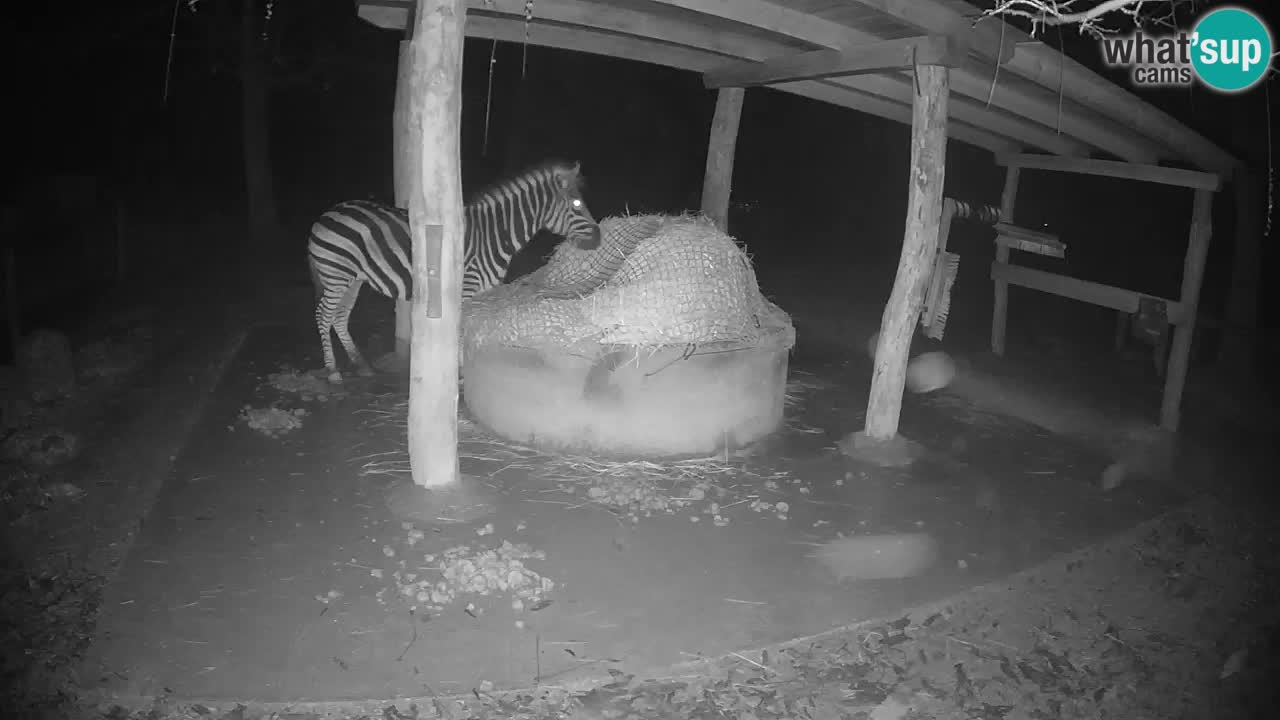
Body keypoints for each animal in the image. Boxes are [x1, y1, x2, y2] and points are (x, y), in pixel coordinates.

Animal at [306, 160, 601, 384]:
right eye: (576, 204)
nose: (598, 238)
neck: (493, 236)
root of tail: (328, 212)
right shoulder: (466, 290)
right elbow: (460, 330)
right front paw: (458, 374)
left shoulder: (482, 292)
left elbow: (471, 329)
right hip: (337, 275)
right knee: (323, 315)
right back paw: (333, 370)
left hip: (353, 278)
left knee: (339, 317)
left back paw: (361, 365)